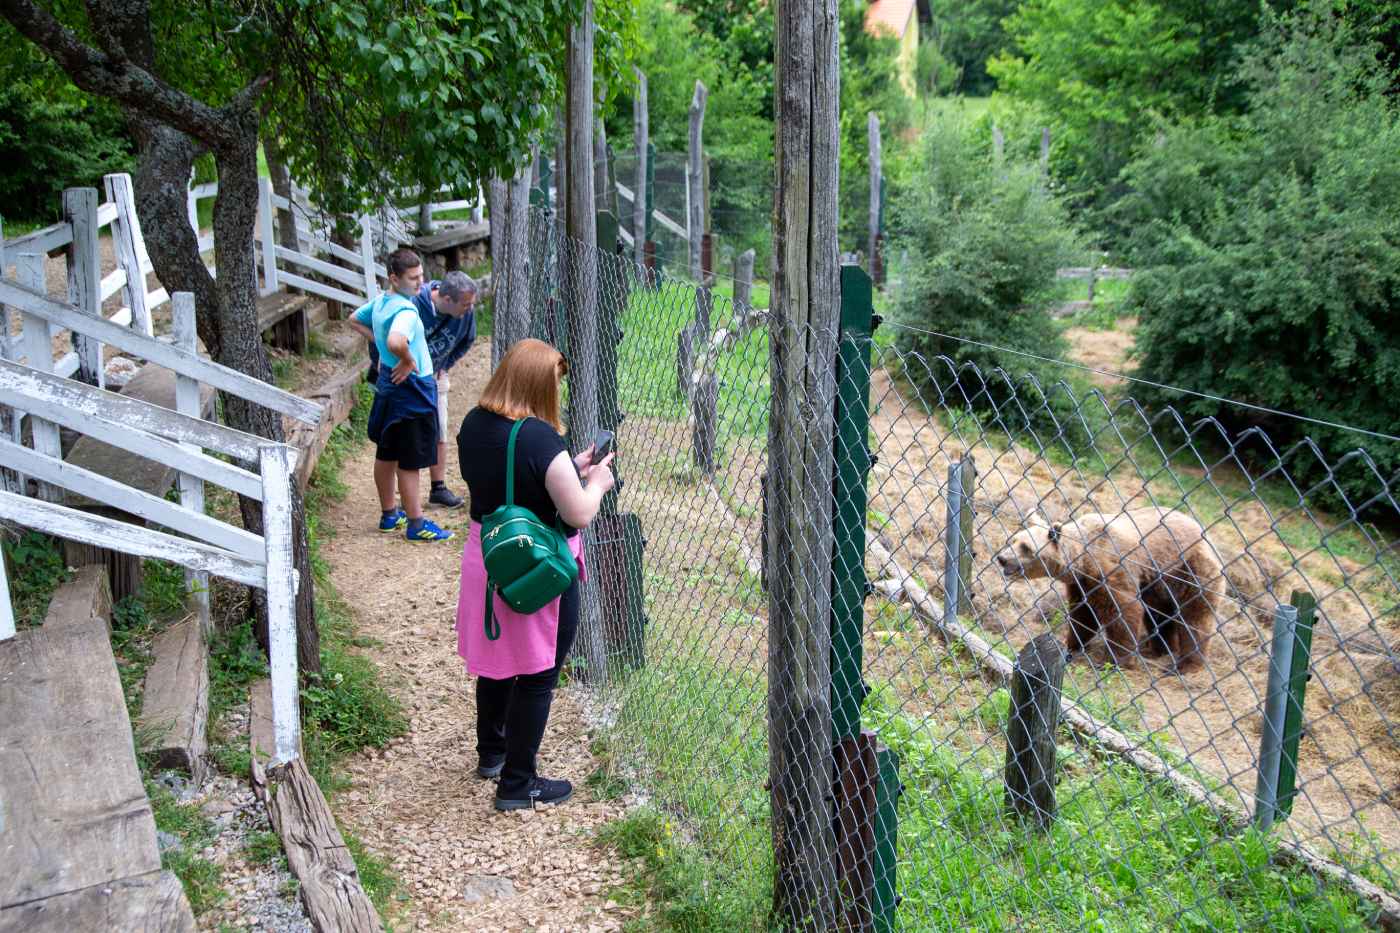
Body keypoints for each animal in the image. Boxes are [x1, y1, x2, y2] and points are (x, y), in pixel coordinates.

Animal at [996, 509, 1226, 669]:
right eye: (1014, 539)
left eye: (1025, 547)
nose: (1002, 558)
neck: (1083, 559)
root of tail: (1207, 535)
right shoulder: (1082, 583)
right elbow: (1083, 614)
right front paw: (1072, 646)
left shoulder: (1112, 568)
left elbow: (1123, 610)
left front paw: (1115, 660)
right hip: (1158, 583)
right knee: (1159, 615)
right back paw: (1161, 649)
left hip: (1190, 570)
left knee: (1195, 618)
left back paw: (1184, 665)